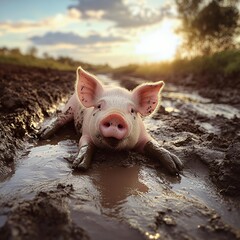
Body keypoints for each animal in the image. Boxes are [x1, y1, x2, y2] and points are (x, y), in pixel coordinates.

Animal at [40, 67, 183, 174]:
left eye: (132, 110)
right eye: (99, 106)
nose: (115, 116)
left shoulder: (143, 135)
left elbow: (153, 144)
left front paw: (177, 167)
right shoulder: (86, 132)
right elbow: (85, 144)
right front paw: (79, 166)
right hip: (69, 106)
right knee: (60, 118)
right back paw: (41, 135)